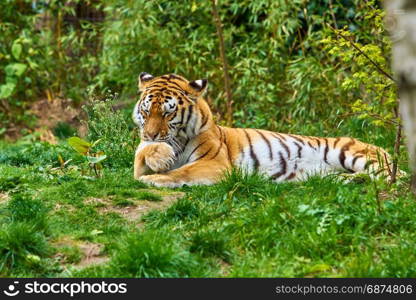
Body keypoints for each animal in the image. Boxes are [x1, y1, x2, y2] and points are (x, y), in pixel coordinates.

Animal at [132, 72, 392, 188]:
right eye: (146, 111)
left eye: (168, 113)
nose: (151, 134)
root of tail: (384, 148)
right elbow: (140, 155)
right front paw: (159, 157)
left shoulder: (214, 163)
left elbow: (181, 172)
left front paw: (153, 178)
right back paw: (349, 180)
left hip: (353, 154)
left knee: (392, 177)